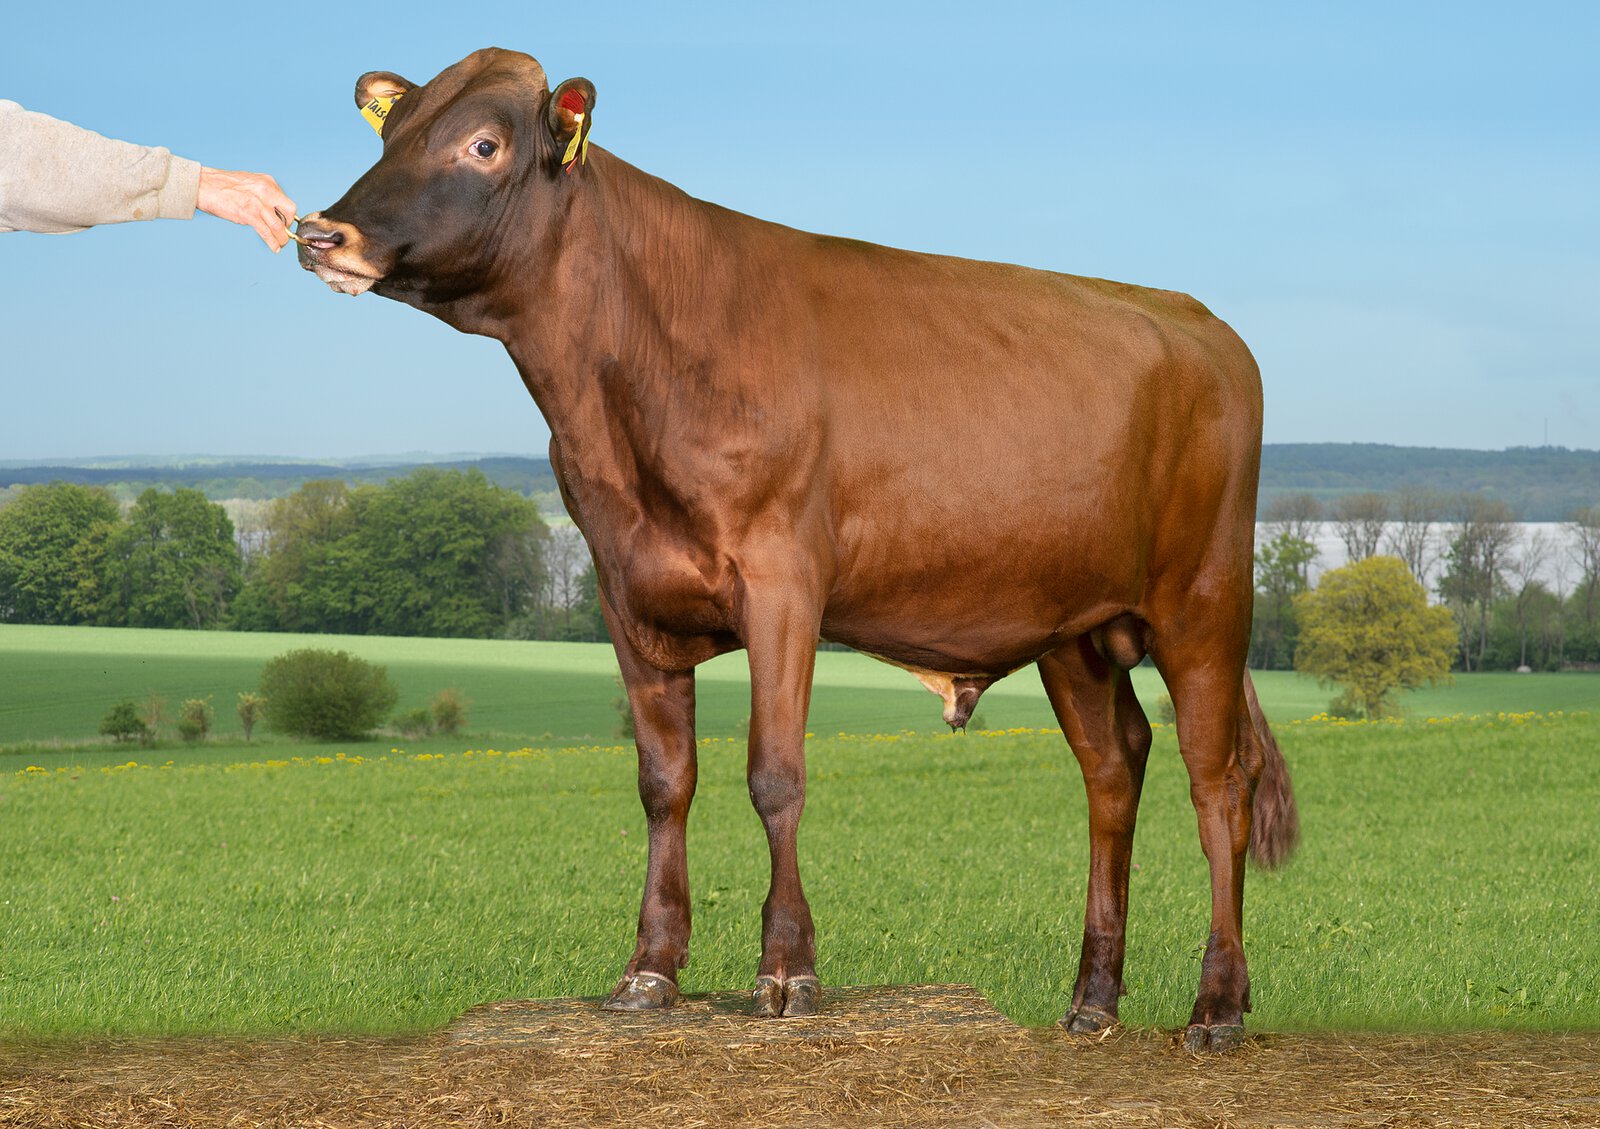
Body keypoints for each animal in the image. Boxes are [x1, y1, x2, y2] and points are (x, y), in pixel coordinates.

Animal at [297, 47, 1299, 1052]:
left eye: (483, 143)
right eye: (391, 131)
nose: (320, 231)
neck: (620, 398)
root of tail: (1198, 317)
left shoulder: (783, 582)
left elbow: (775, 776)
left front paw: (786, 969)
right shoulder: (626, 590)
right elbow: (664, 781)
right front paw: (649, 970)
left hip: (1204, 599)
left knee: (1218, 781)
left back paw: (1218, 1006)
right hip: (1078, 629)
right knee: (1113, 769)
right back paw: (1092, 1000)